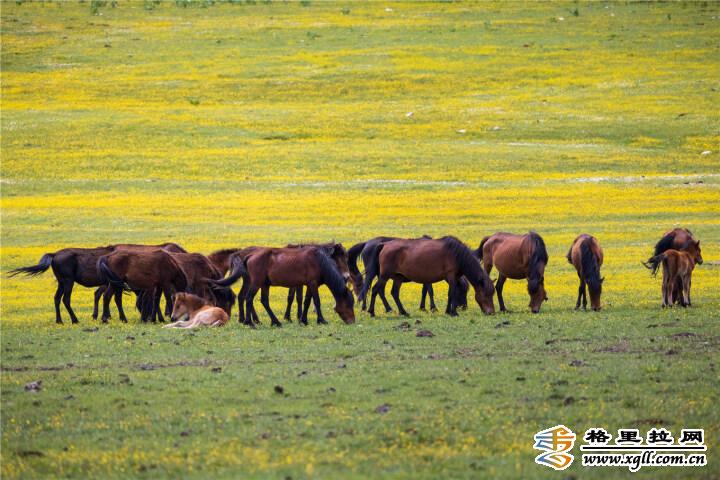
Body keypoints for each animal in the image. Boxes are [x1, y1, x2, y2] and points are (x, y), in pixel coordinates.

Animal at [8, 242, 185, 324]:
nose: (146, 318)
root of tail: (54, 255)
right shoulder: (113, 283)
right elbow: (107, 297)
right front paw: (105, 316)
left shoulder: (113, 283)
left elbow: (105, 296)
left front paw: (103, 316)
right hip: (68, 281)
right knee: (66, 299)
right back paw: (74, 319)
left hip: (61, 282)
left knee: (57, 299)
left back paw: (60, 320)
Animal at [213, 245, 355, 327]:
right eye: (348, 304)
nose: (352, 321)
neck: (319, 261)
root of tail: (249, 255)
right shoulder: (313, 284)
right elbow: (317, 301)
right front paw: (321, 320)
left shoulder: (309, 284)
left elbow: (307, 302)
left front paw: (304, 320)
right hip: (256, 283)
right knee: (248, 299)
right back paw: (250, 322)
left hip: (264, 284)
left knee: (263, 301)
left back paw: (275, 321)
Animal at [360, 236, 495, 317]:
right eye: (486, 295)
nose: (491, 312)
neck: (457, 254)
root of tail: (384, 245)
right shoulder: (451, 276)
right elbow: (452, 293)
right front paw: (453, 312)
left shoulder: (451, 278)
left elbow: (449, 294)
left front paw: (448, 311)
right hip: (384, 275)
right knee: (376, 289)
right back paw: (372, 312)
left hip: (398, 277)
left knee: (394, 293)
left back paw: (403, 312)